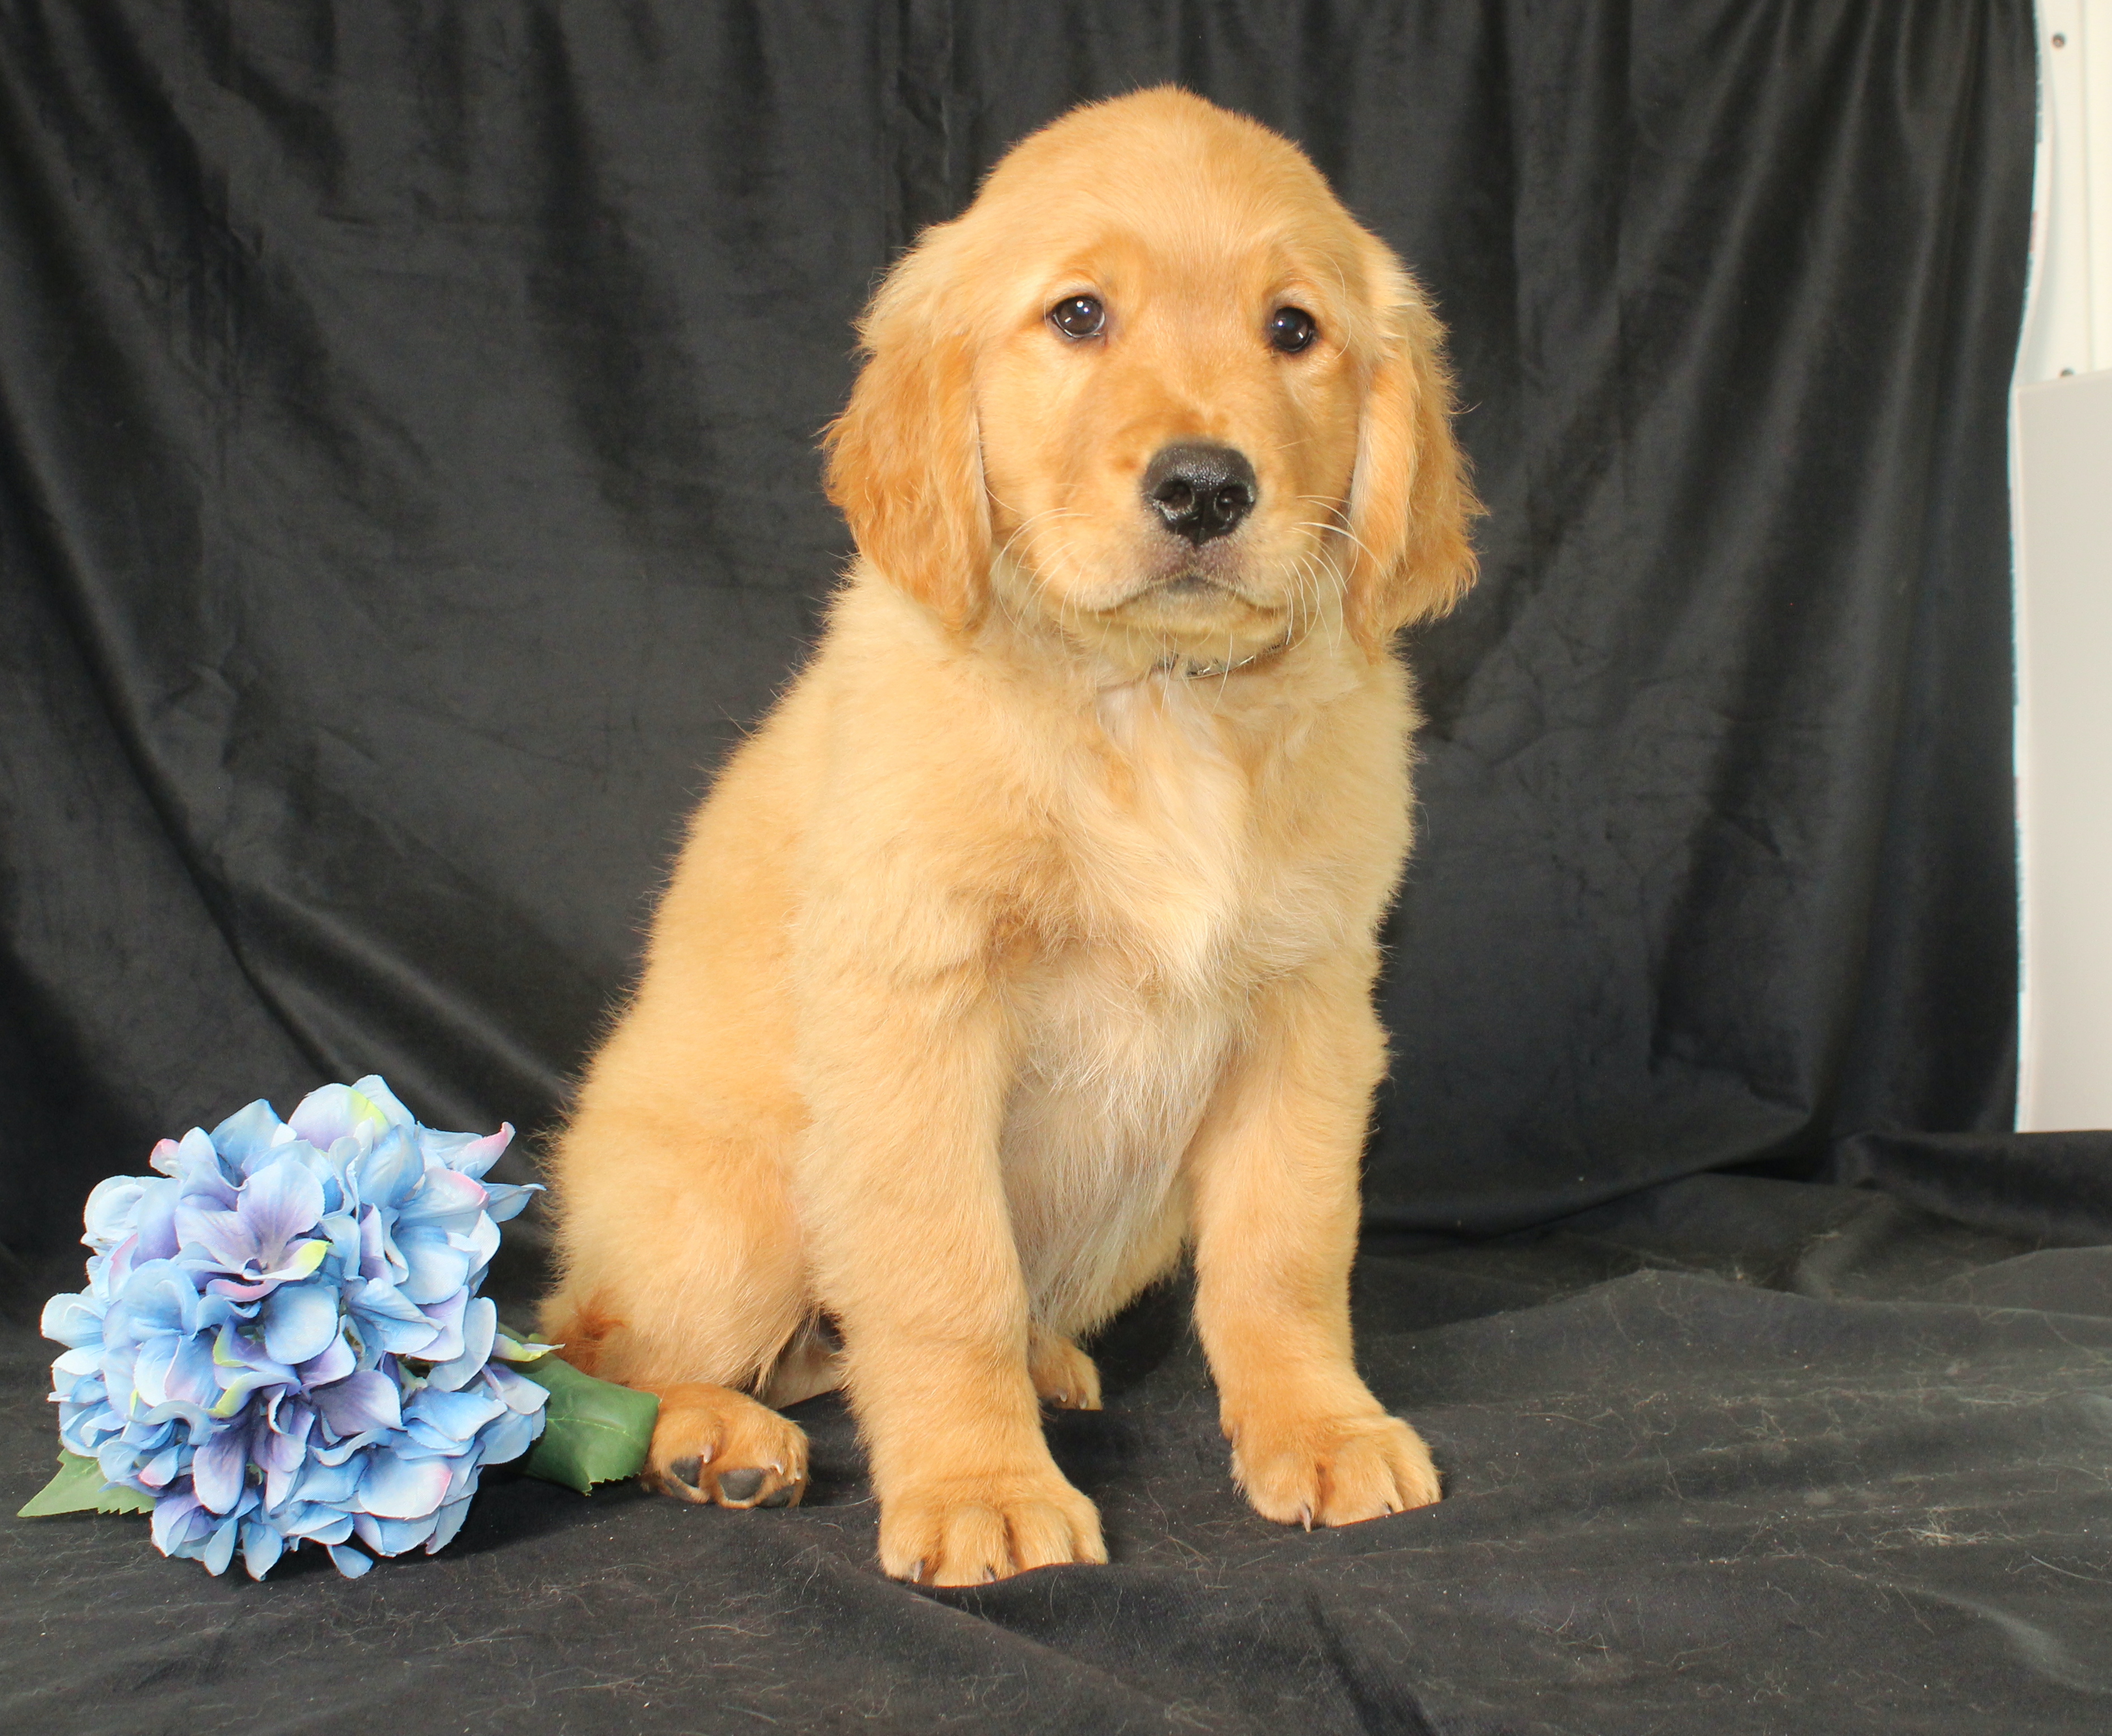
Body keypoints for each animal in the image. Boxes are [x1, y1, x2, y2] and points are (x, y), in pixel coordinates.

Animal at [536, 85, 1478, 1588]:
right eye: (1078, 315)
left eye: (1293, 329)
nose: (1205, 489)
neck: (1154, 704)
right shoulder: (918, 1006)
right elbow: (942, 1279)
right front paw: (978, 1486)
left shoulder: (1312, 1009)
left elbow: (1285, 1255)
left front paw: (1320, 1429)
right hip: (729, 1224)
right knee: (585, 1349)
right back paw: (714, 1436)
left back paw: (1036, 1369)